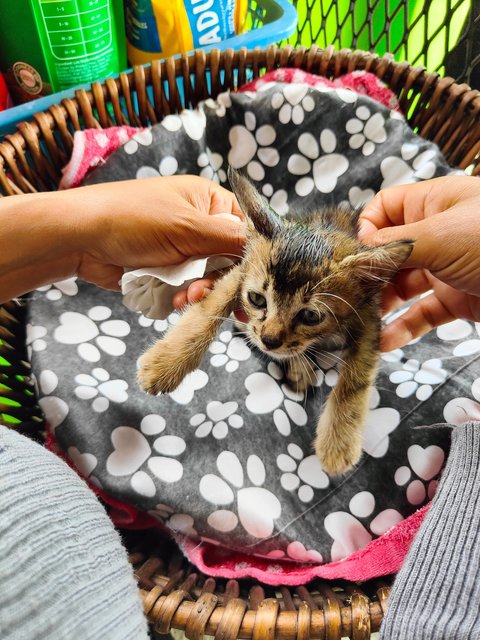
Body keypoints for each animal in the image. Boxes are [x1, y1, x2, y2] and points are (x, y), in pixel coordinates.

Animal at [138, 170, 412, 476]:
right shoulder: (241, 270)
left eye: (310, 316)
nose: (269, 340)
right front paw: (165, 364)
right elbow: (211, 305)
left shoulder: (368, 316)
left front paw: (338, 441)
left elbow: (356, 376)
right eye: (257, 299)